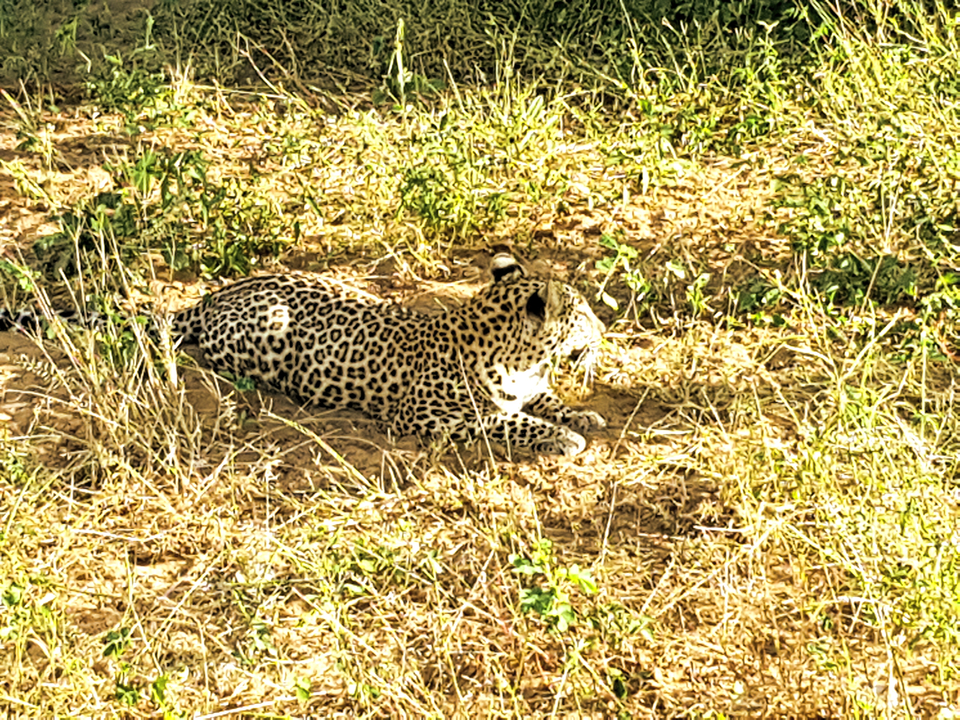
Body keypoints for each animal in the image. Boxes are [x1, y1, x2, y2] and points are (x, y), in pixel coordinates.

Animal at [171, 251, 606, 455]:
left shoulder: (531, 387)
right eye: (584, 314)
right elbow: (509, 421)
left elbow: (547, 400)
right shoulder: (429, 415)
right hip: (267, 330)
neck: (523, 364)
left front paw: (582, 416)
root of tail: (215, 297)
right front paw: (562, 436)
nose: (603, 330)